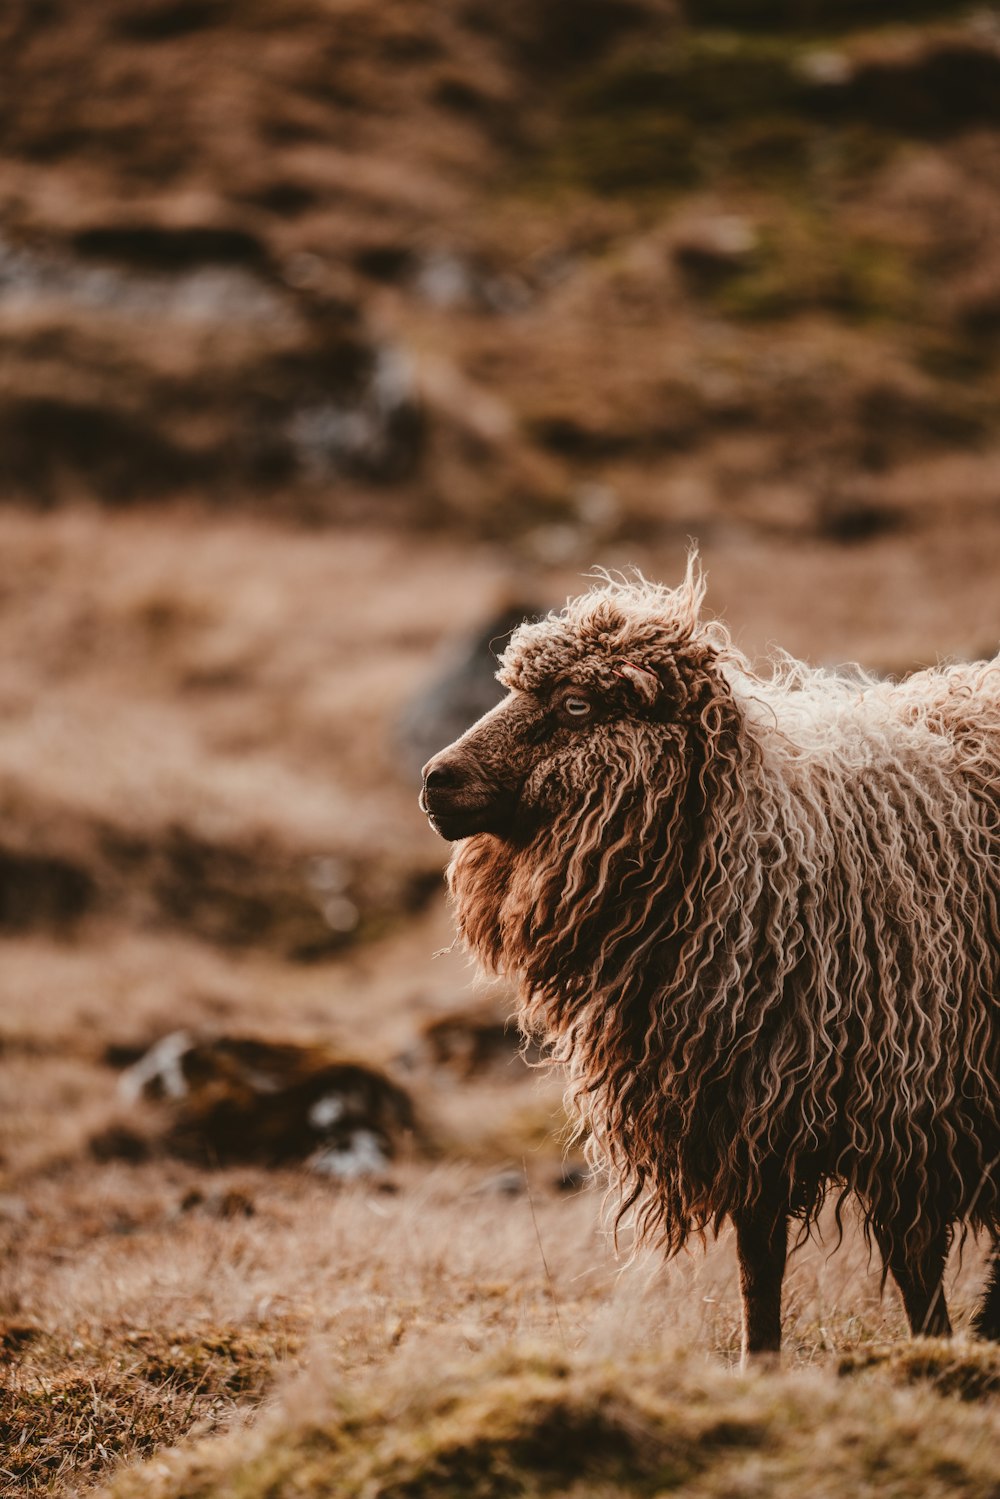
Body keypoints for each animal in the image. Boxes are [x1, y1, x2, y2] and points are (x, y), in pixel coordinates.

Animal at [419, 560, 1000, 1361]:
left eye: (575, 704)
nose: (434, 779)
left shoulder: (911, 1102)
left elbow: (912, 1268)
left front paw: (935, 1352)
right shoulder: (742, 1106)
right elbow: (760, 1263)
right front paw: (761, 1366)